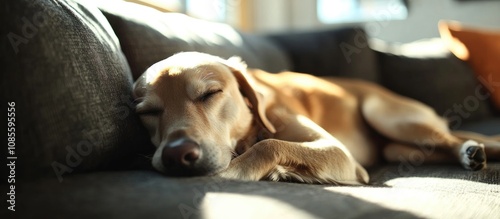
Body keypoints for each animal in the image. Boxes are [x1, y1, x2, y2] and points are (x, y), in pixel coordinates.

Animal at [133, 51, 500, 185]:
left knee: (450, 138)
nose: (177, 154)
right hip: (399, 147)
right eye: (148, 112)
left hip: (388, 116)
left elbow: (269, 145)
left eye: (209, 94)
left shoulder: (340, 153)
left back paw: (470, 150)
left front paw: (234, 171)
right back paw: (470, 152)